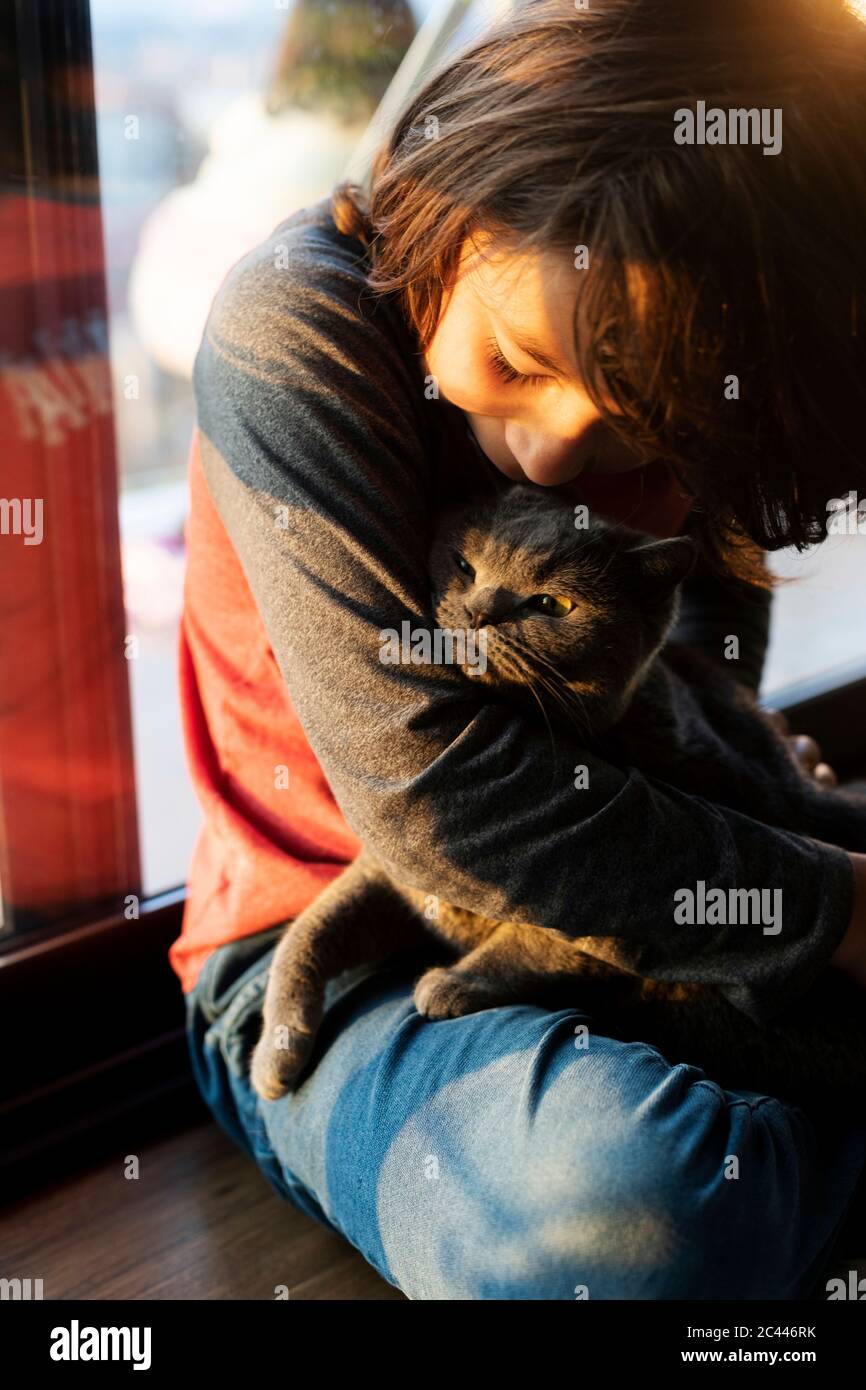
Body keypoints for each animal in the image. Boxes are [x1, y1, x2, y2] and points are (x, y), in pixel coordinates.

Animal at [248, 483, 866, 1112]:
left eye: (552, 605)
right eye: (465, 565)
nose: (480, 612)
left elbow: (546, 940)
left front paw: (450, 983)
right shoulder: (389, 866)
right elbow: (309, 930)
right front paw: (275, 1056)